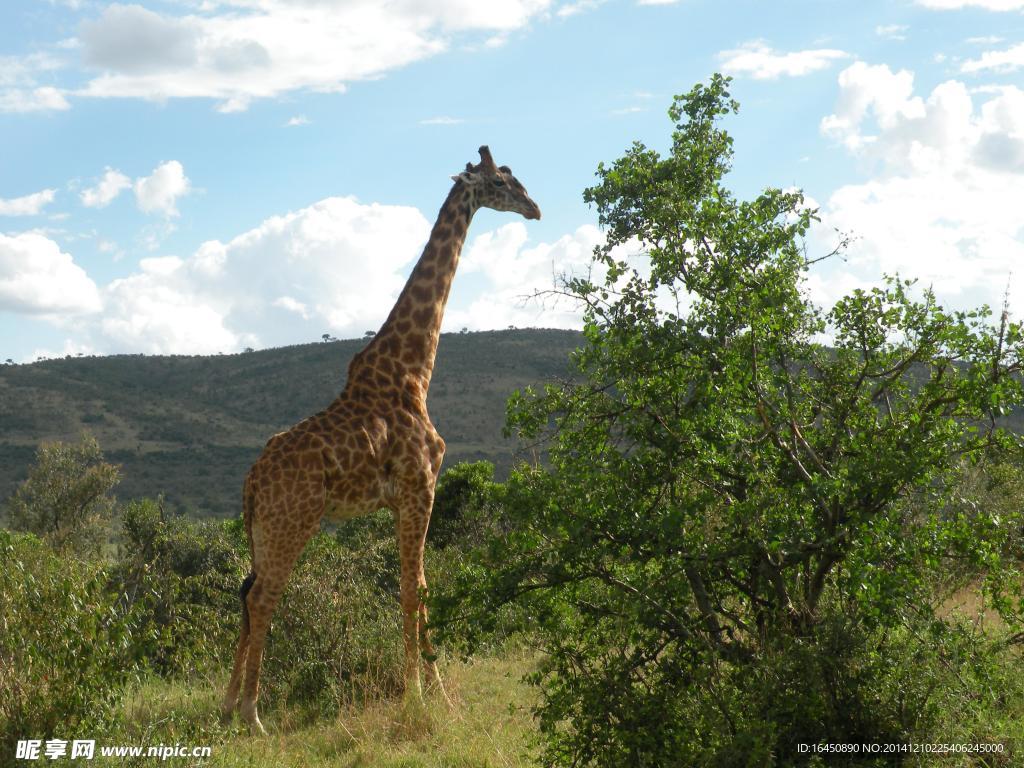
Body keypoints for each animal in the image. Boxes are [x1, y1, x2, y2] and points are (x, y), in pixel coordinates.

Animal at [220, 144, 544, 733]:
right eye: (501, 184)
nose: (535, 209)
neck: (414, 370)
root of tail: (252, 482)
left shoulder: (402, 499)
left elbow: (420, 586)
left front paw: (437, 692)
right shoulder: (420, 487)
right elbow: (412, 590)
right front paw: (417, 694)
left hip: (260, 530)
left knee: (246, 592)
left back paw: (228, 704)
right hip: (292, 523)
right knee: (263, 599)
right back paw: (254, 715)